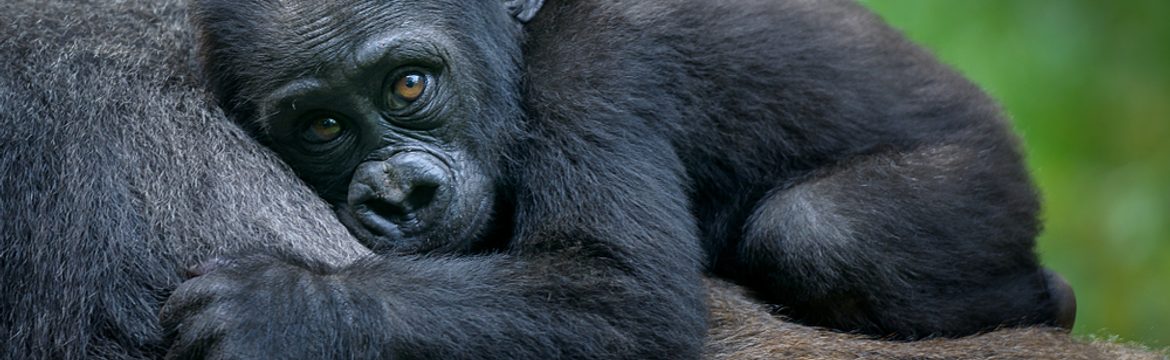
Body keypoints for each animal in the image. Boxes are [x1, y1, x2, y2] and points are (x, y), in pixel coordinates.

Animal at [162, 0, 1076, 355]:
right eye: (322, 127)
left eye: (409, 86)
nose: (396, 195)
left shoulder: (597, 70)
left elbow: (623, 295)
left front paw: (292, 305)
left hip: (988, 183)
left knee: (822, 234)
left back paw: (1053, 301)